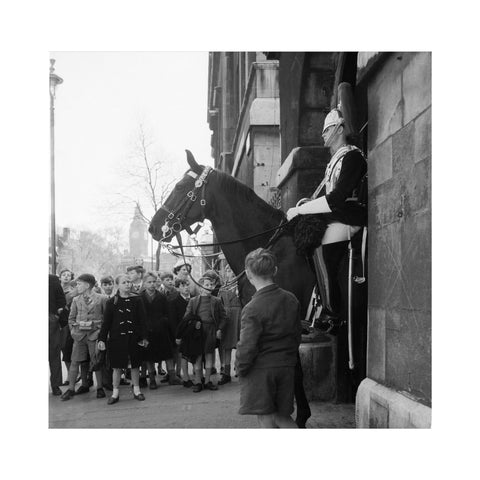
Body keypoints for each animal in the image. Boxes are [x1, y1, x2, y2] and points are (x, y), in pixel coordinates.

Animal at [150, 150, 316, 428]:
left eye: (181, 186)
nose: (153, 226)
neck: (272, 249)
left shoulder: (287, 324)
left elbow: (293, 369)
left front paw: (299, 415)